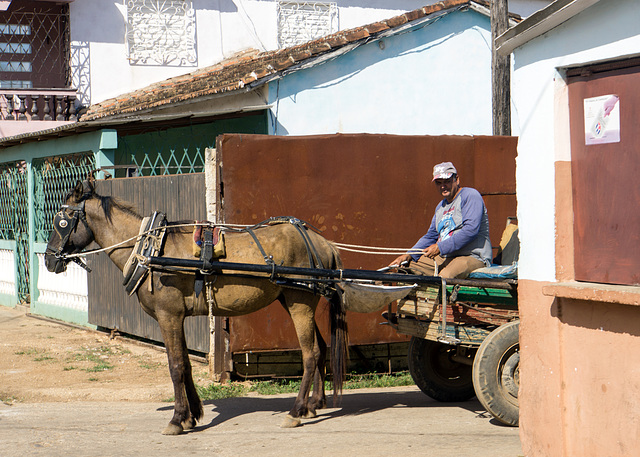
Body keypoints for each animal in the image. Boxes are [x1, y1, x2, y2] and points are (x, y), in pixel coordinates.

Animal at [44, 179, 348, 434]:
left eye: (62, 221)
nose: (48, 260)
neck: (150, 250)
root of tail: (323, 243)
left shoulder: (168, 316)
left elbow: (176, 365)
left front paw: (177, 419)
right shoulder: (176, 317)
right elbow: (187, 364)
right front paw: (192, 416)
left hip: (300, 302)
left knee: (310, 354)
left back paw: (296, 411)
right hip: (293, 299)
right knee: (321, 349)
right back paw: (313, 405)